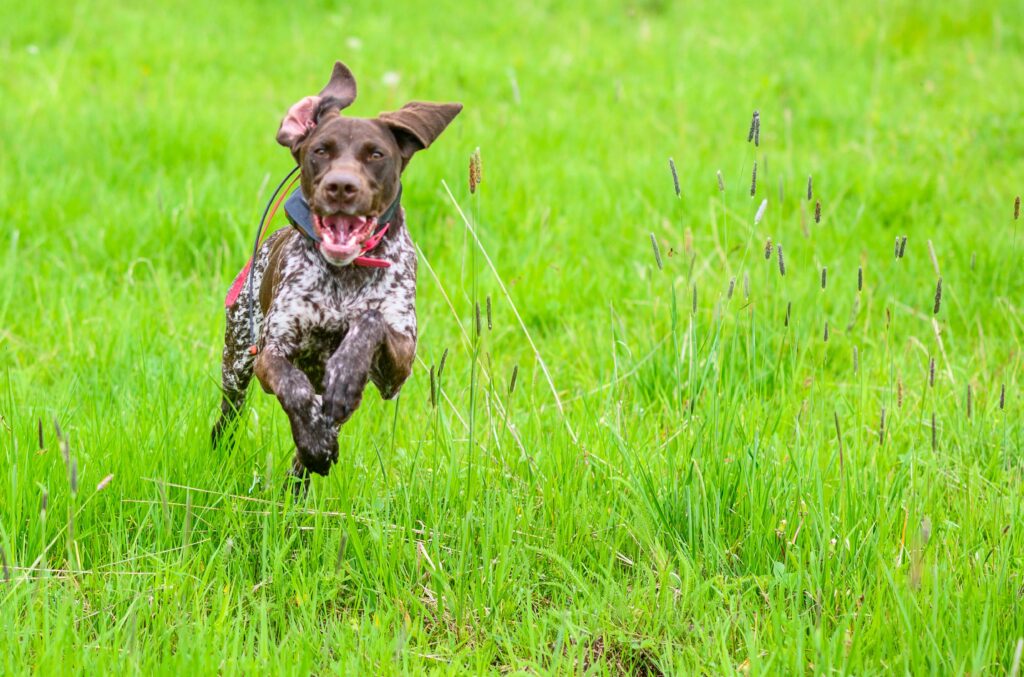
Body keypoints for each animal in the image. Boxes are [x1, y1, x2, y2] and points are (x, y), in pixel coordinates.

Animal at [214, 59, 462, 481]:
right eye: (320, 150)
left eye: (376, 154)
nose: (341, 187)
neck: (346, 277)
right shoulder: (270, 352)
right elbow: (293, 387)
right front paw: (316, 440)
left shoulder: (397, 368)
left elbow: (370, 320)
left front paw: (345, 373)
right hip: (237, 363)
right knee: (229, 419)